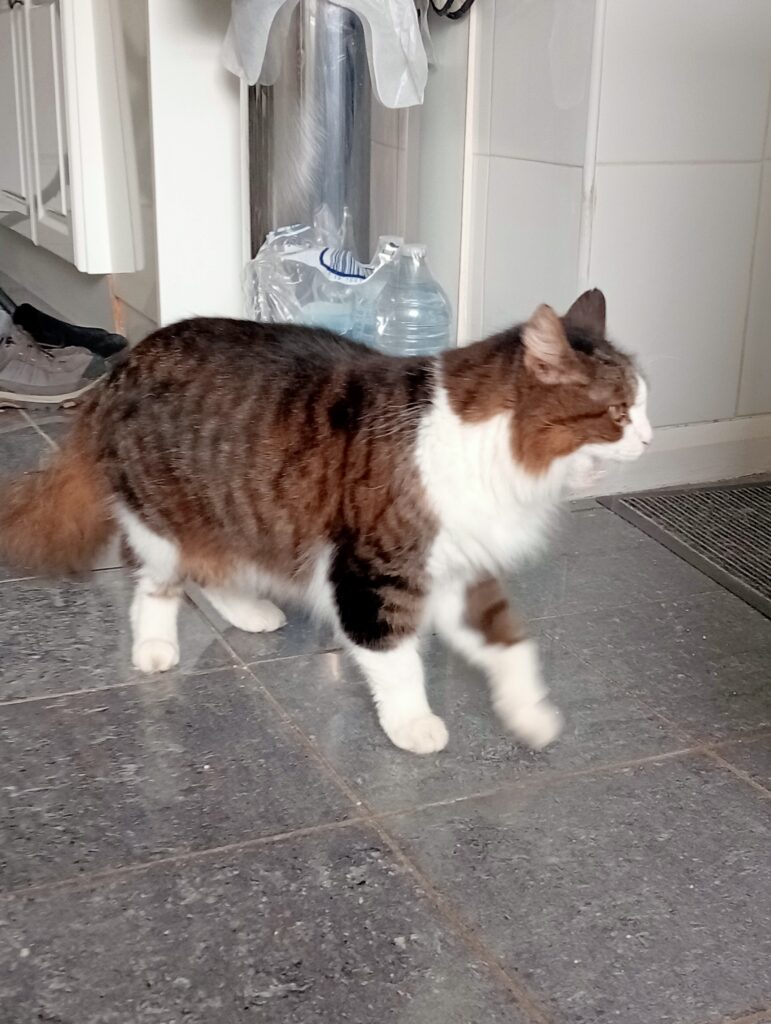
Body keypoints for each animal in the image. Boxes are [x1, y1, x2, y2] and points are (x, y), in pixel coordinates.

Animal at [0, 288, 651, 754]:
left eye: (642, 407)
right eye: (620, 413)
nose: (649, 438)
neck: (491, 453)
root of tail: (125, 363)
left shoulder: (462, 569)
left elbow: (513, 647)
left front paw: (530, 716)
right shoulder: (375, 573)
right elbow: (396, 659)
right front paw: (413, 725)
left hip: (241, 517)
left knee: (212, 574)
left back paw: (252, 613)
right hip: (164, 523)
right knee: (157, 585)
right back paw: (156, 647)